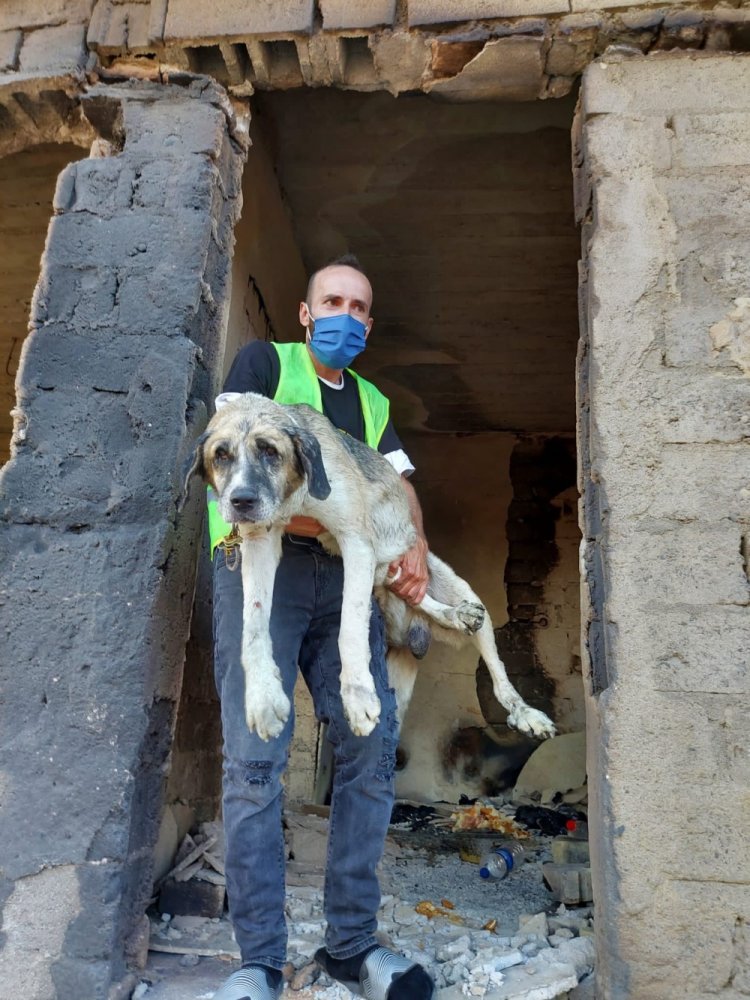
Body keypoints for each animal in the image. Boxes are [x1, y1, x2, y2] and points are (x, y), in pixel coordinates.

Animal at [184, 390, 556, 744]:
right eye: (221, 455)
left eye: (270, 451)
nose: (241, 501)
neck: (296, 498)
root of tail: (412, 629)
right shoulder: (260, 542)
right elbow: (254, 624)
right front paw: (263, 698)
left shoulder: (357, 542)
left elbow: (349, 626)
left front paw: (357, 695)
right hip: (387, 579)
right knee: (417, 597)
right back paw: (454, 615)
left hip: (460, 594)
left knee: (499, 676)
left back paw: (525, 712)